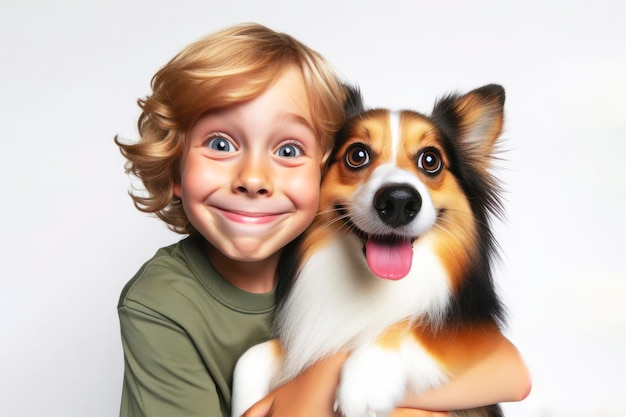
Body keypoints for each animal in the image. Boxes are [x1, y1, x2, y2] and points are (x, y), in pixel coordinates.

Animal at [233, 83, 508, 416]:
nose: (399, 202)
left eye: (431, 160)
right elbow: (250, 356)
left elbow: (418, 329)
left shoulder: (479, 333)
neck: (371, 287)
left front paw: (366, 382)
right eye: (357, 155)